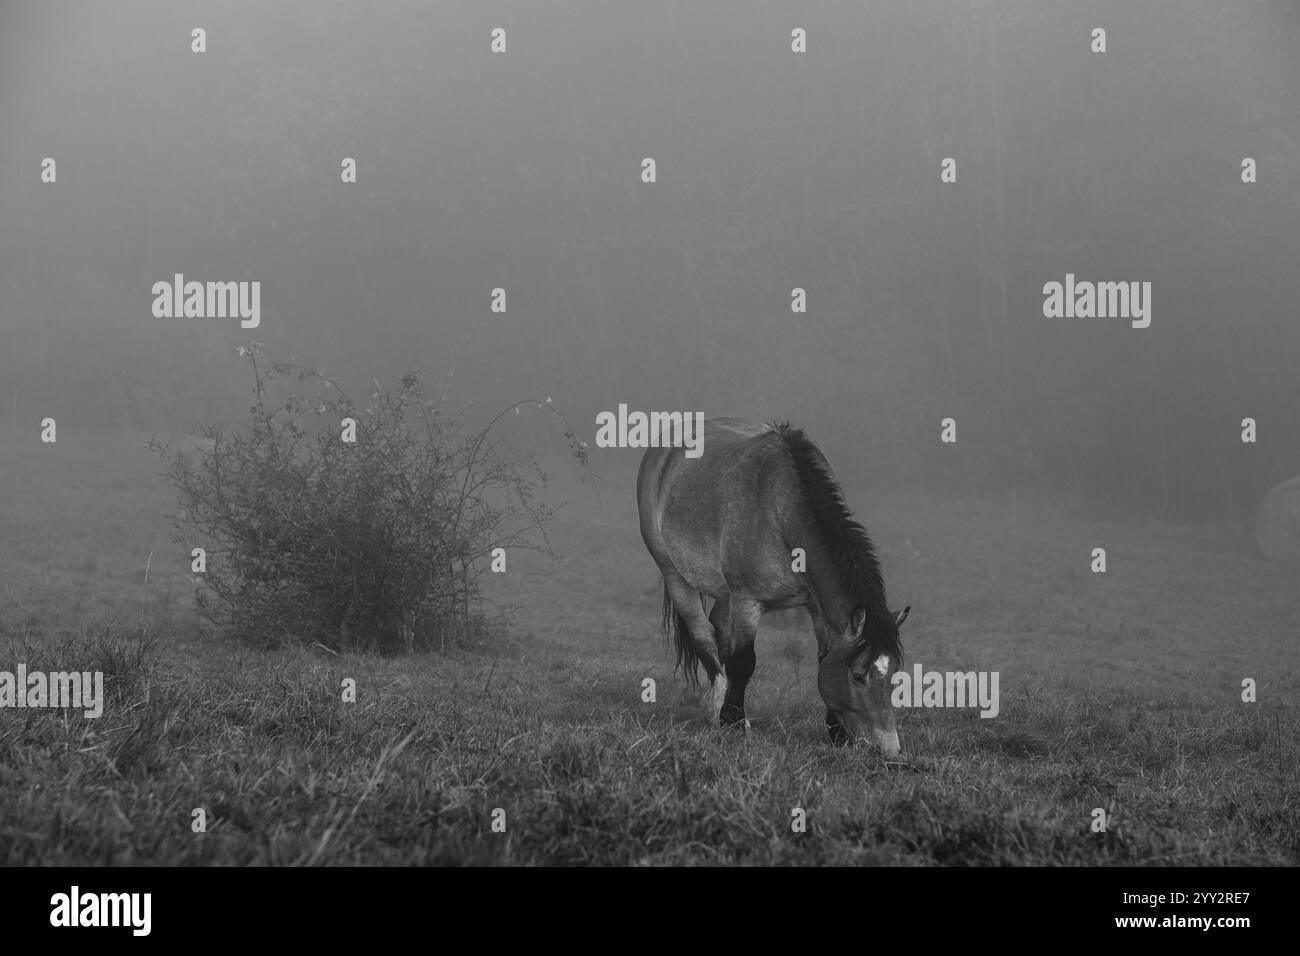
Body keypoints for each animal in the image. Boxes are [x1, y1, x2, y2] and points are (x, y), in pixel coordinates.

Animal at [637, 418, 910, 755]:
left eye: (895, 672)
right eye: (859, 676)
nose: (890, 749)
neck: (782, 509)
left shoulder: (815, 606)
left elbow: (823, 657)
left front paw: (837, 733)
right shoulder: (747, 601)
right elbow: (743, 663)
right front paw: (734, 723)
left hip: (725, 593)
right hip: (676, 575)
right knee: (705, 639)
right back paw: (717, 708)